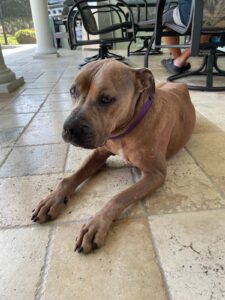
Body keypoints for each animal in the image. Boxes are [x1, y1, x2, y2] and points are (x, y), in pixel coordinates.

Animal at [31, 58, 195, 253]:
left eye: (106, 99)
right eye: (72, 91)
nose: (69, 129)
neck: (124, 130)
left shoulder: (155, 174)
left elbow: (119, 197)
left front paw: (96, 224)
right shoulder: (98, 153)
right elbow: (69, 179)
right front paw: (52, 199)